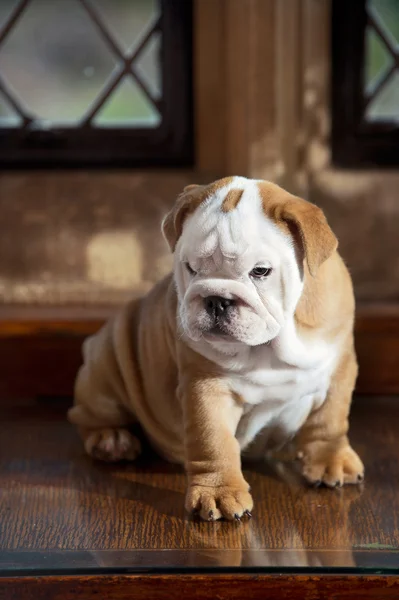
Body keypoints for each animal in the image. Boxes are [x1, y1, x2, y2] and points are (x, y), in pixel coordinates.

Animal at [69, 177, 366, 520]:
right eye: (190, 267)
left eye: (260, 271)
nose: (216, 300)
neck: (269, 347)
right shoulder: (207, 387)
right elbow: (213, 440)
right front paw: (220, 493)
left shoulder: (339, 365)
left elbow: (329, 418)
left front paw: (332, 461)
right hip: (109, 363)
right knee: (86, 415)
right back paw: (111, 439)